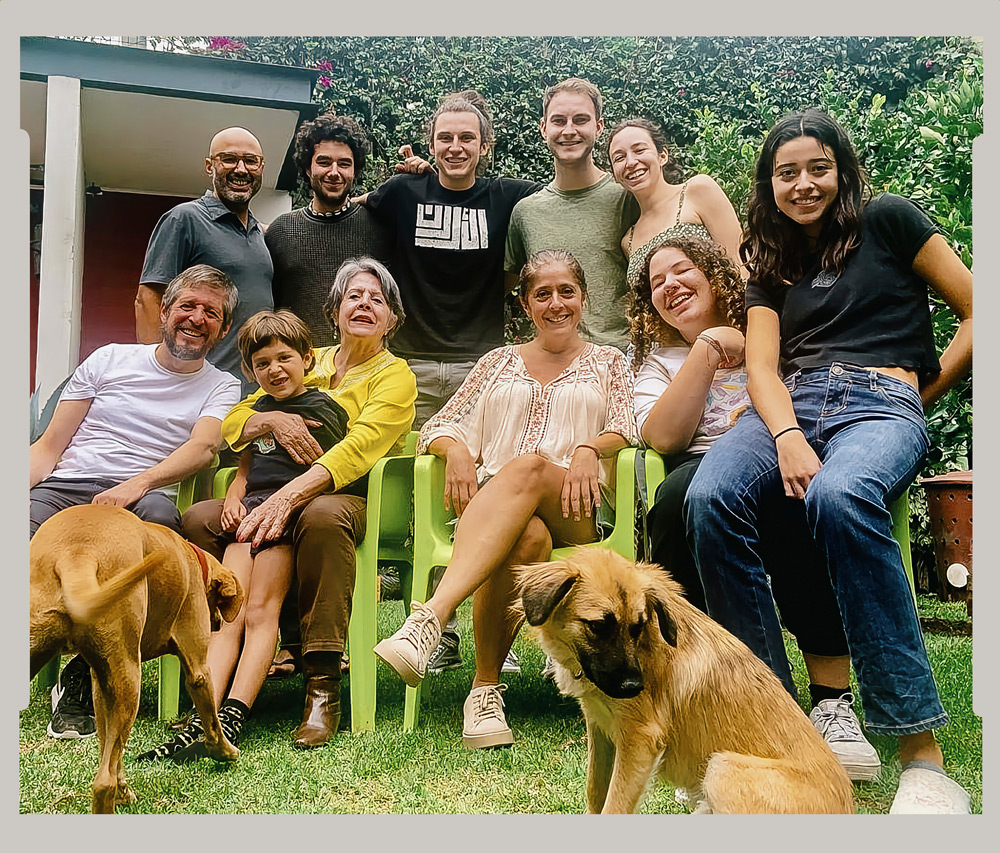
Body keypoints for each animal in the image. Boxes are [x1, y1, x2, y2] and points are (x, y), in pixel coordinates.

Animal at [30, 506, 245, 812]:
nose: (217, 623)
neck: (191, 558)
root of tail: (77, 554)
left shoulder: (101, 684)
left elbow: (111, 750)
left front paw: (124, 789)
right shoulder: (199, 671)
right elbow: (212, 722)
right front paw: (225, 752)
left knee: (107, 766)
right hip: (131, 681)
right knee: (102, 783)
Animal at [520, 544, 856, 812]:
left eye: (637, 626)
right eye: (598, 626)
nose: (633, 687)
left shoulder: (640, 741)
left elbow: (614, 806)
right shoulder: (600, 727)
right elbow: (595, 791)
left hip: (722, 769)